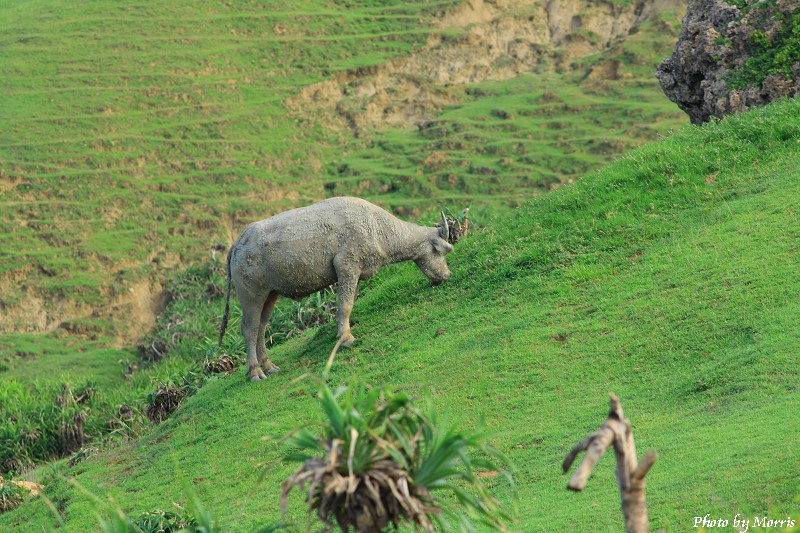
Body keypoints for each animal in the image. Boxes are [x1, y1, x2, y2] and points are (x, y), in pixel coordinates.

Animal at [217, 197, 456, 380]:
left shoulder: (355, 274)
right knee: (249, 328)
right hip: (251, 294)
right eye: (442, 250)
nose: (446, 275)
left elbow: (346, 305)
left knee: (261, 327)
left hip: (270, 294)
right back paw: (255, 371)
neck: (375, 227)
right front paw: (346, 338)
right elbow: (346, 304)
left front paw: (340, 330)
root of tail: (237, 243)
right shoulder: (347, 266)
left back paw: (268, 366)